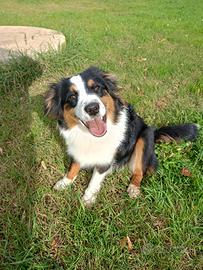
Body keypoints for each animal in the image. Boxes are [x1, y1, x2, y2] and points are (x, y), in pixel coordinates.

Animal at [44, 66, 198, 206]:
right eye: (72, 97)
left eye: (97, 88)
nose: (93, 108)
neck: (91, 137)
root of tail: (154, 131)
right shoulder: (76, 150)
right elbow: (73, 167)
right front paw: (64, 182)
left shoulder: (104, 160)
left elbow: (94, 180)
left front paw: (87, 199)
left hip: (144, 137)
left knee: (139, 172)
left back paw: (133, 188)